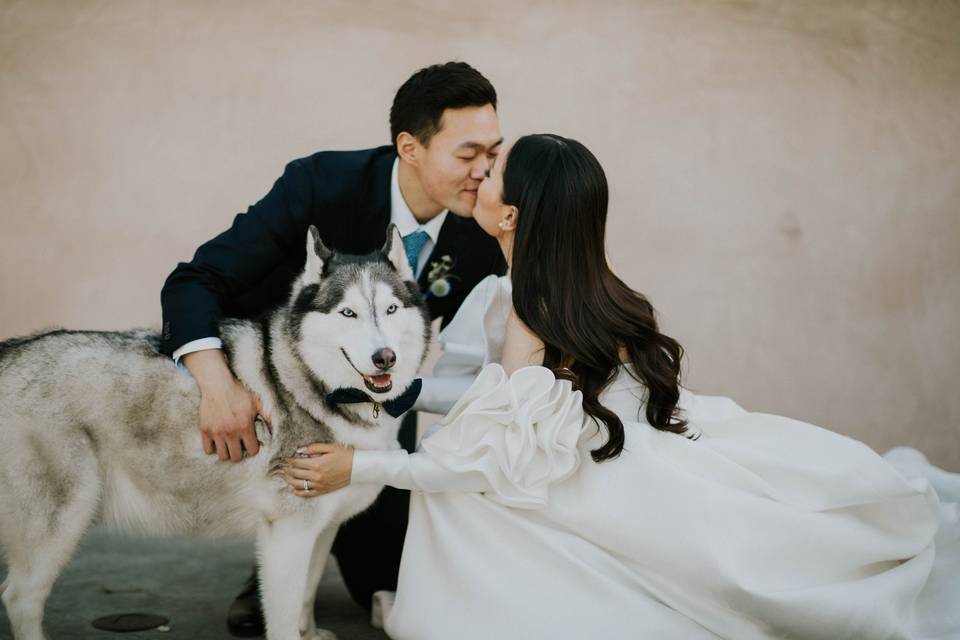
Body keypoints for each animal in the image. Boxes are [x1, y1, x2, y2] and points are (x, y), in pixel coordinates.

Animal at [0, 225, 432, 640]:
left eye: (391, 309)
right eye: (348, 313)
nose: (385, 358)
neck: (318, 385)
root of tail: (9, 353)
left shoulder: (320, 529)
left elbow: (305, 597)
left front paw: (309, 633)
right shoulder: (287, 533)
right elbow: (283, 618)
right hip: (60, 520)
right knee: (20, 597)